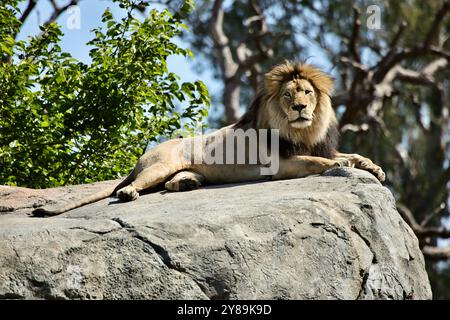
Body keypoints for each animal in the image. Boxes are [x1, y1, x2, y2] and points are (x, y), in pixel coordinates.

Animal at [32, 61, 384, 216]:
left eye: (307, 93)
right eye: (288, 95)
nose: (300, 107)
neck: (302, 129)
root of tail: (143, 156)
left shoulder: (318, 144)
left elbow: (347, 154)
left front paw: (374, 167)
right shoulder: (281, 164)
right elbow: (320, 161)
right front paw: (346, 167)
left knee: (170, 183)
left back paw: (187, 184)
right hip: (159, 165)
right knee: (135, 185)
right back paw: (130, 192)